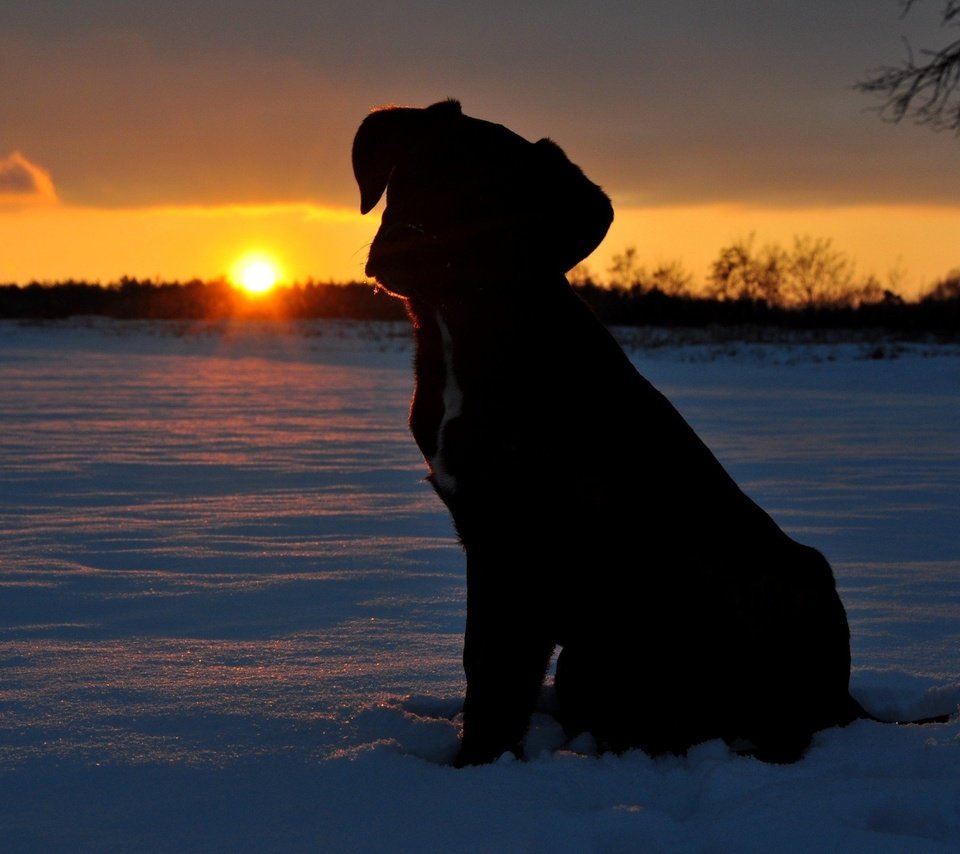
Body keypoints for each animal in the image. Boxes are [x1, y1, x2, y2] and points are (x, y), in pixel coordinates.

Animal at [350, 100, 936, 768]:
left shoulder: (520, 543)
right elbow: (486, 663)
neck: (465, 329)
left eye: (489, 199)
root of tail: (842, 699)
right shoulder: (487, 536)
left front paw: (476, 765)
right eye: (411, 171)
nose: (402, 246)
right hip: (593, 658)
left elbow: (497, 673)